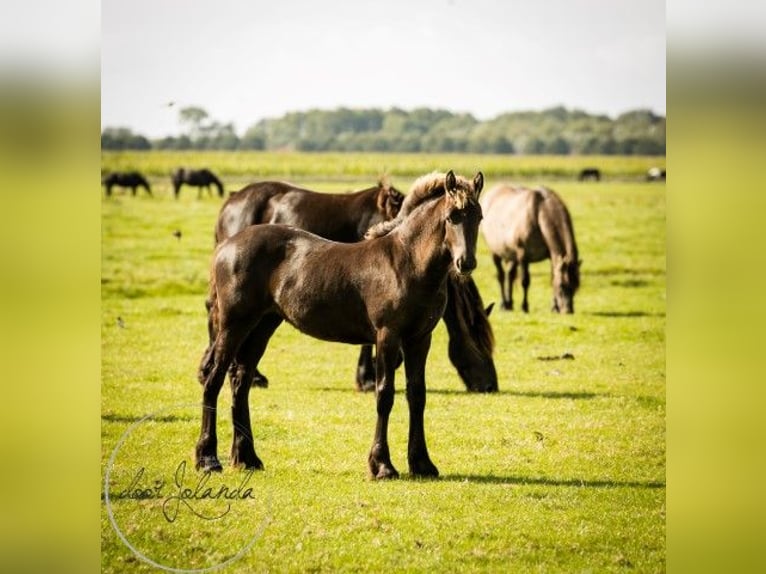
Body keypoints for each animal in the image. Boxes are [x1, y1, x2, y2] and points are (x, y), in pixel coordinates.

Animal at [480, 184, 584, 316]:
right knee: (501, 276)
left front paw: (554, 307)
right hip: (495, 253)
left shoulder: (551, 256)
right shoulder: (523, 255)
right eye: (561, 285)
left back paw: (509, 304)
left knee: (510, 275)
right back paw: (504, 303)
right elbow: (525, 281)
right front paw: (524, 306)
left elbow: (552, 277)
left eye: (576, 285)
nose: (568, 310)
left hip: (512, 255)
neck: (539, 214)